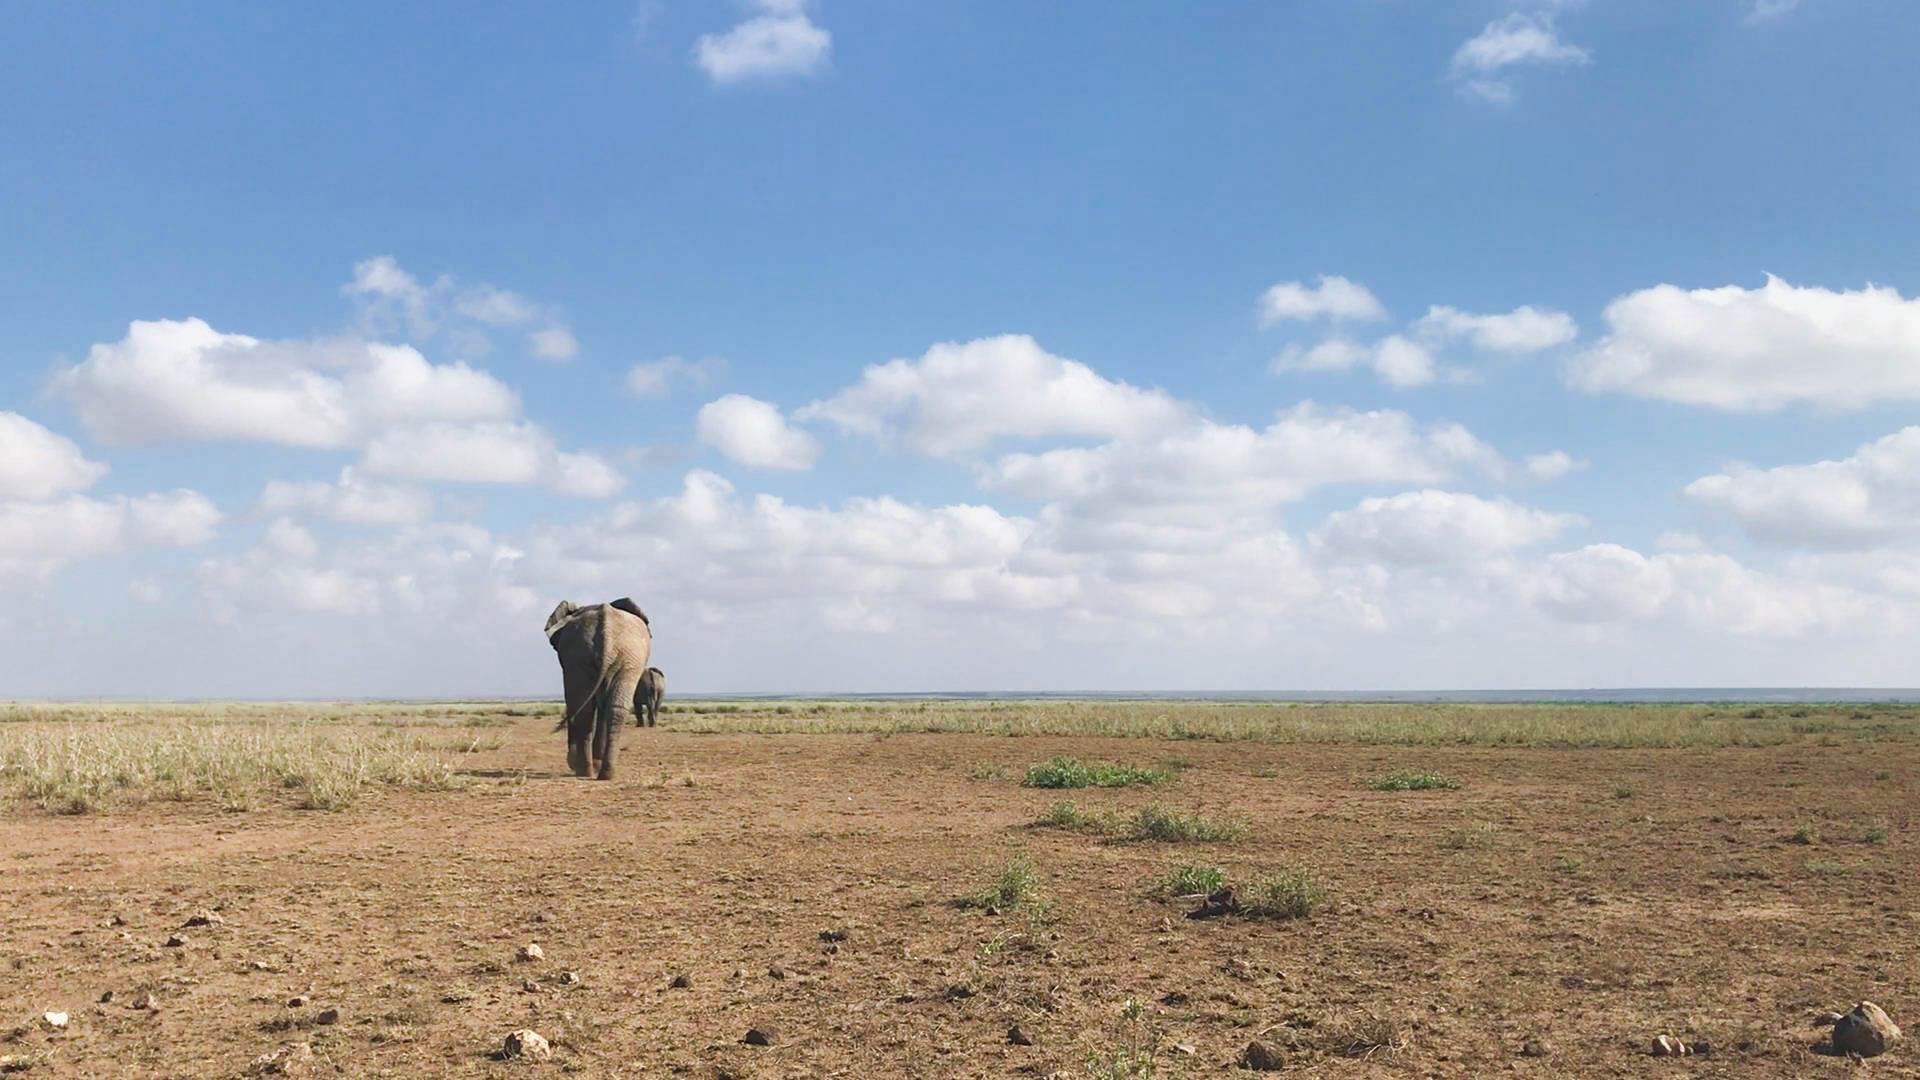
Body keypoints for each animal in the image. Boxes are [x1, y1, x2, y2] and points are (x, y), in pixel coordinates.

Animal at [549, 595, 652, 772]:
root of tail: (607, 630)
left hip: (616, 656)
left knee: (587, 707)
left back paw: (588, 770)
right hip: (621, 656)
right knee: (609, 707)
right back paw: (599, 771)